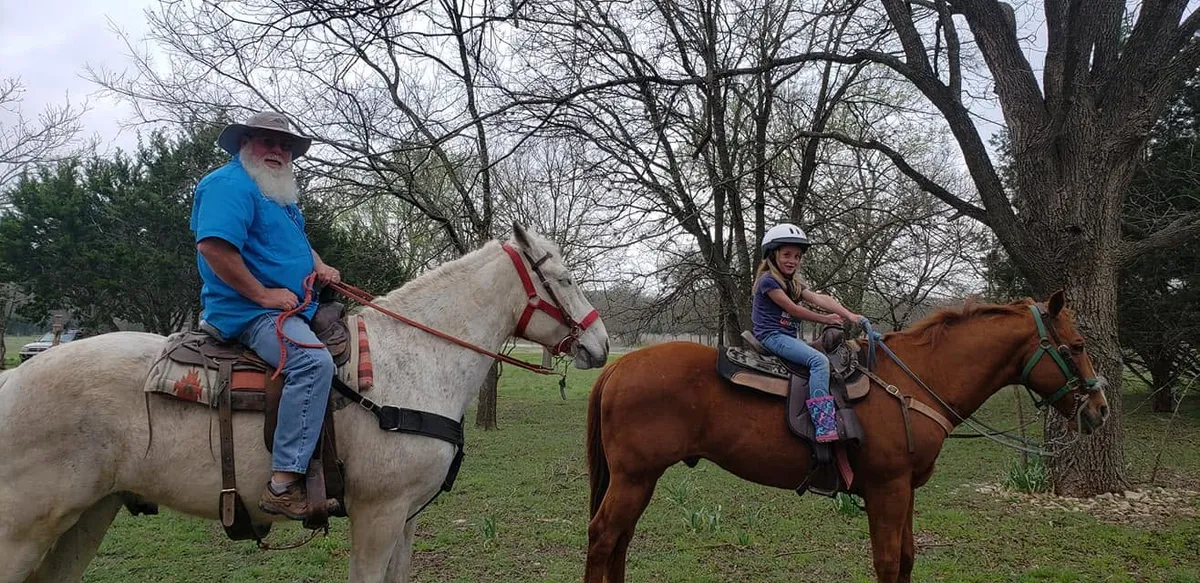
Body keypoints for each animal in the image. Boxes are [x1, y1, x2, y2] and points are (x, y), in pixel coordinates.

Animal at [0, 223, 609, 583]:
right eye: (563, 277)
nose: (600, 345)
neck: (415, 361)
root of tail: (15, 380)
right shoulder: (377, 515)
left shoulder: (406, 519)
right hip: (24, 529)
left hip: (87, 517)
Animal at [584, 291, 1110, 583]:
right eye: (1077, 346)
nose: (1099, 409)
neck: (915, 381)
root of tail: (619, 367)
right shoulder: (886, 490)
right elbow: (888, 561)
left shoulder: (905, 491)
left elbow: (907, 559)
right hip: (634, 478)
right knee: (603, 537)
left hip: (639, 480)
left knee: (620, 540)